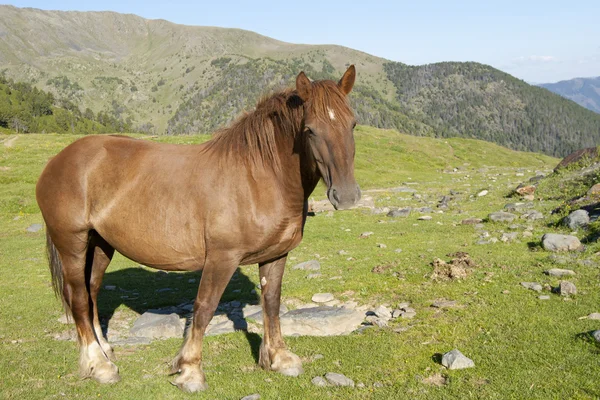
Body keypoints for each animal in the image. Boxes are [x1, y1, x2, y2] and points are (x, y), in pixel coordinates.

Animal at [36, 65, 360, 390]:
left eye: (353, 125)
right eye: (310, 129)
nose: (346, 196)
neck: (259, 177)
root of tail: (59, 160)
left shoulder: (276, 255)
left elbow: (271, 302)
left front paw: (278, 358)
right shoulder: (222, 257)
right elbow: (204, 307)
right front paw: (190, 370)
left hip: (101, 244)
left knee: (92, 290)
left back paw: (104, 349)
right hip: (72, 244)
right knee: (79, 298)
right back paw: (100, 365)